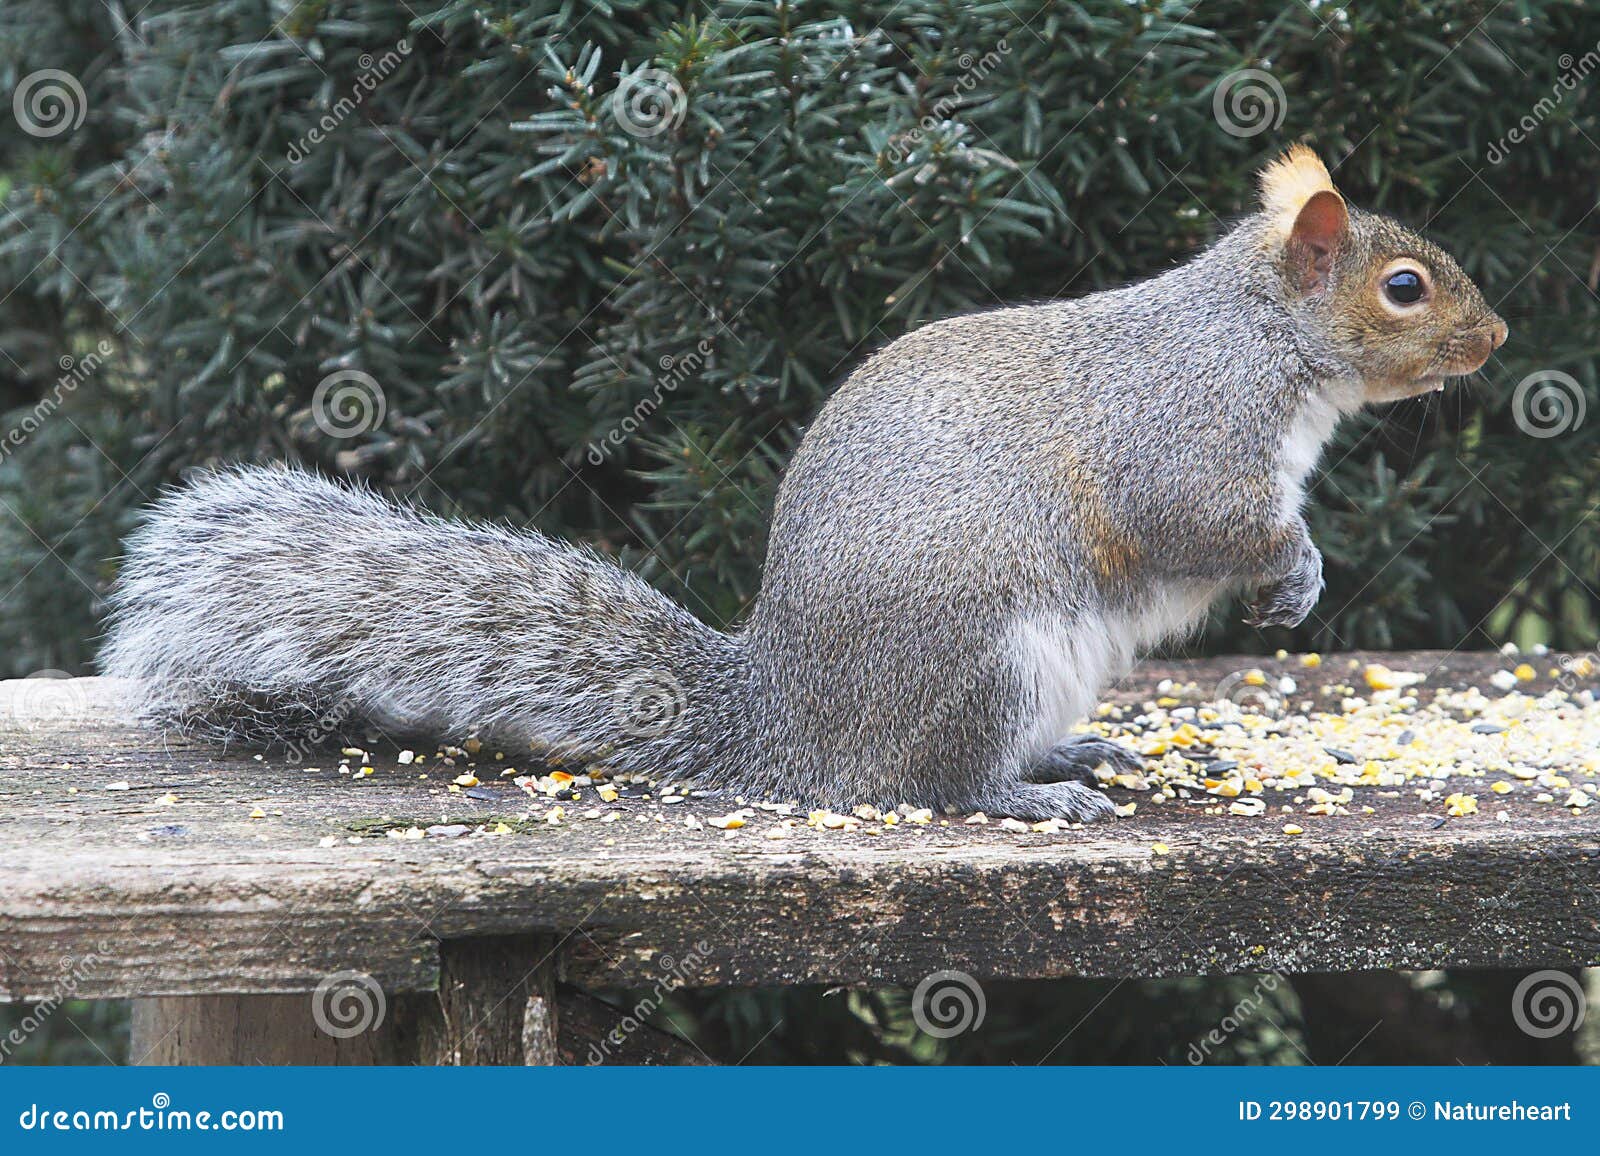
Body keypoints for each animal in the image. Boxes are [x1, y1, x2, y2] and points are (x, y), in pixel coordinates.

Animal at [102, 145, 1506, 822]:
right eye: (1403, 288)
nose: (1496, 339)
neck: (1266, 341)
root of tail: (789, 725)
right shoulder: (1185, 433)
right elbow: (1201, 518)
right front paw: (1292, 571)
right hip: (981, 654)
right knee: (932, 785)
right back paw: (1028, 792)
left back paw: (1072, 751)